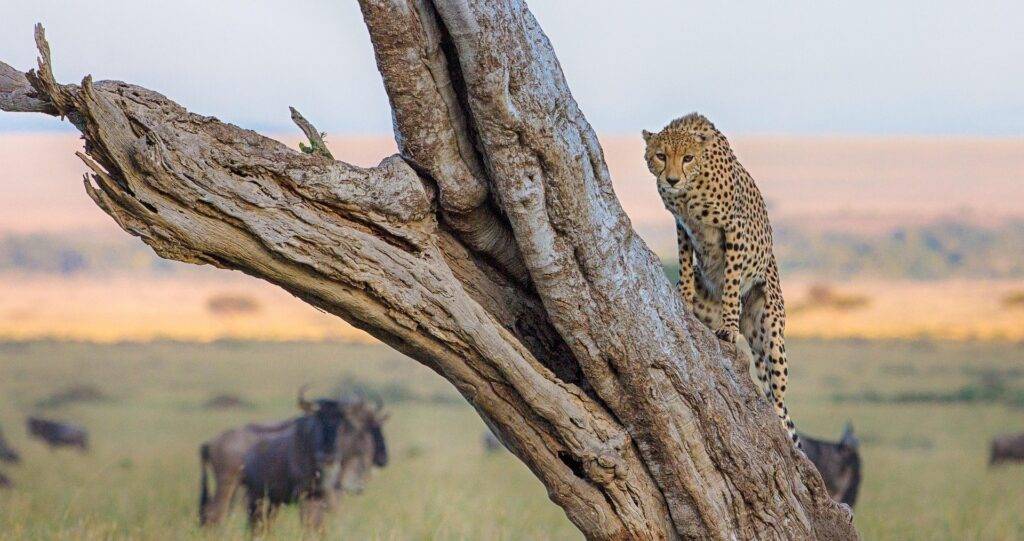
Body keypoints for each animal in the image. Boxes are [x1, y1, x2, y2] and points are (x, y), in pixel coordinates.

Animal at [643, 113, 799, 447]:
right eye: (661, 156)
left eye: (687, 158)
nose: (672, 179)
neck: (689, 190)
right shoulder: (683, 225)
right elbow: (685, 265)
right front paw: (684, 295)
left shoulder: (734, 228)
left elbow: (730, 280)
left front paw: (727, 325)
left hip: (770, 331)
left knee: (779, 398)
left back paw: (779, 422)